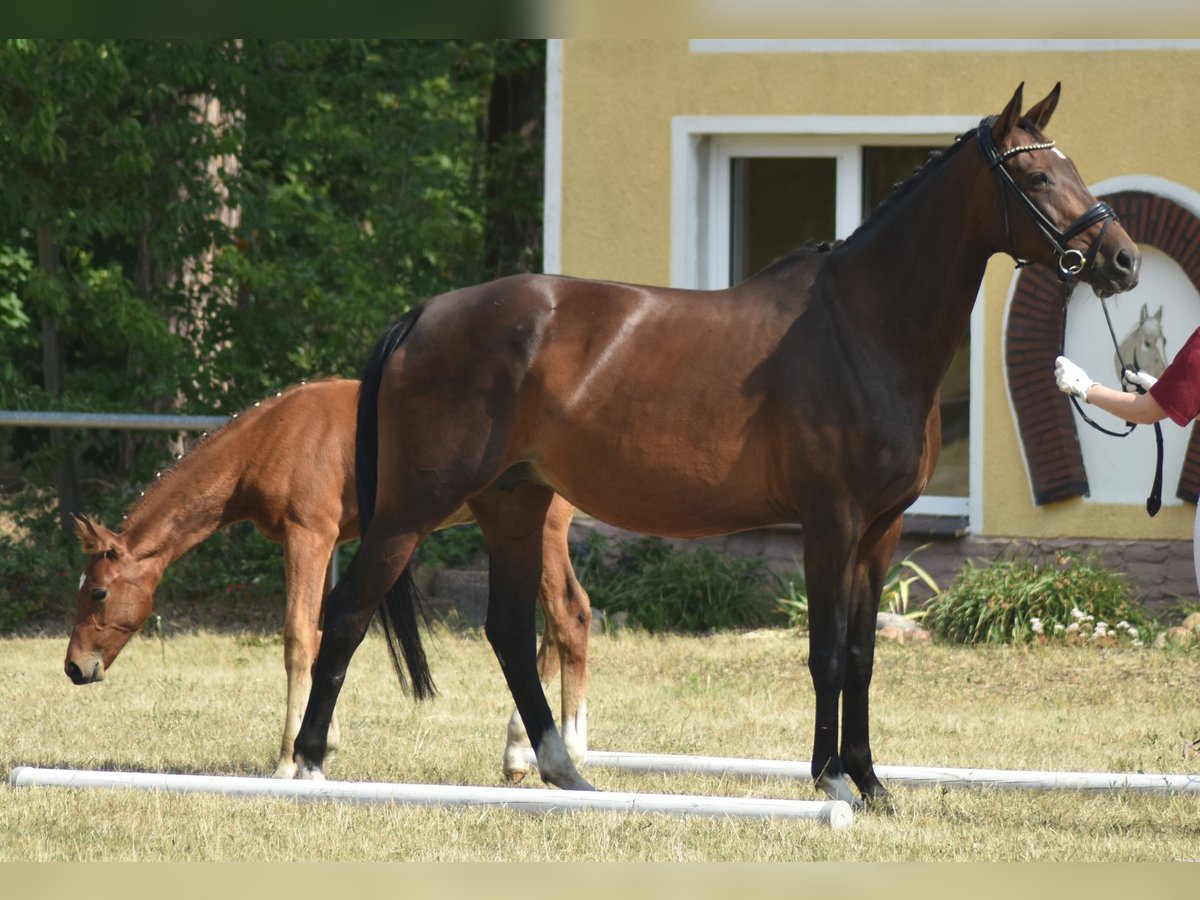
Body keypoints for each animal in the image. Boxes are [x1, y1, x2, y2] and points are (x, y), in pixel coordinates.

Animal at [64, 378, 591, 781]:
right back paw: (525, 751)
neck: (273, 437)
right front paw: (322, 743)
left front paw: (287, 761)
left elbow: (298, 639)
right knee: (558, 624)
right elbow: (321, 637)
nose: (74, 667)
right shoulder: (327, 541)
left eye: (99, 591)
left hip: (538, 530)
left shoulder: (308, 536)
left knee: (569, 615)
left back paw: (564, 751)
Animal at [291, 83, 1141, 809]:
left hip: (514, 505)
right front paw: (831, 780)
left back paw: (564, 772)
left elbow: (863, 656)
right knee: (348, 611)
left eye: (1071, 165)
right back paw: (305, 764)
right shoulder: (830, 521)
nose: (1123, 260)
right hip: (412, 511)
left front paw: (871, 783)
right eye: (1037, 173)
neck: (863, 326)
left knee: (505, 630)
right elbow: (827, 650)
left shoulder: (882, 529)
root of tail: (424, 313)